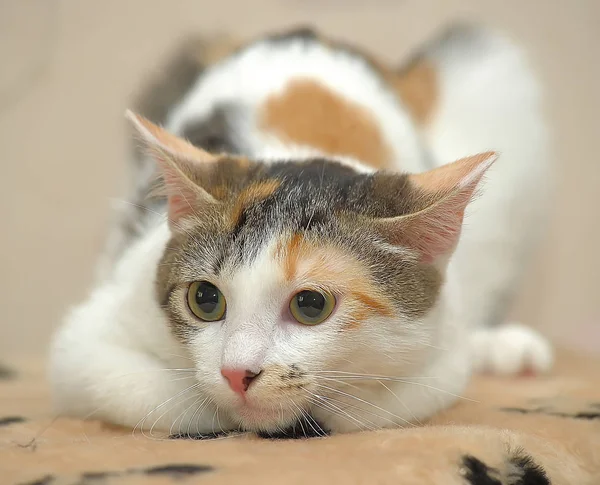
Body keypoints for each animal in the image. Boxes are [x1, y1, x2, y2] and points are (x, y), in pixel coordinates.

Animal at [50, 24, 552, 436]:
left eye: (311, 305)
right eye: (205, 299)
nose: (236, 374)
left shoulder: (441, 348)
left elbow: (394, 395)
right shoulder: (87, 342)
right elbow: (171, 397)